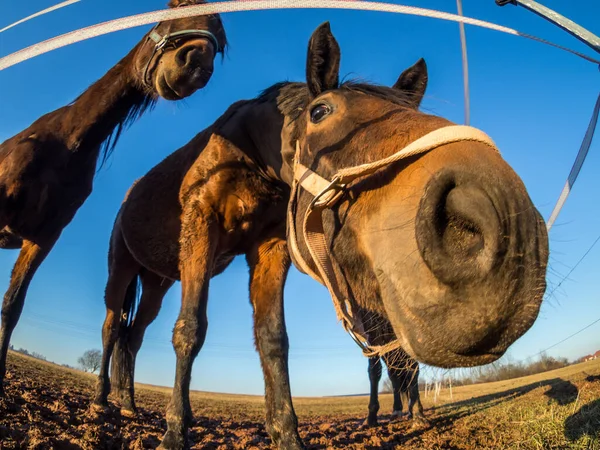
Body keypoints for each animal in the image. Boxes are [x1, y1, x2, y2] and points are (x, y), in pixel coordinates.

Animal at [0, 0, 227, 394]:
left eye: (221, 40)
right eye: (176, 8)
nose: (196, 63)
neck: (69, 142)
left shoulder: (43, 237)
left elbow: (12, 306)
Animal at [94, 23, 548, 450]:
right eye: (320, 112)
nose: (506, 221)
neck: (250, 151)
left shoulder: (271, 248)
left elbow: (273, 340)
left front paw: (285, 434)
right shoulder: (201, 228)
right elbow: (189, 330)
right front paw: (173, 433)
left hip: (157, 282)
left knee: (133, 338)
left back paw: (130, 403)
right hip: (123, 269)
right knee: (113, 329)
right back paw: (104, 402)